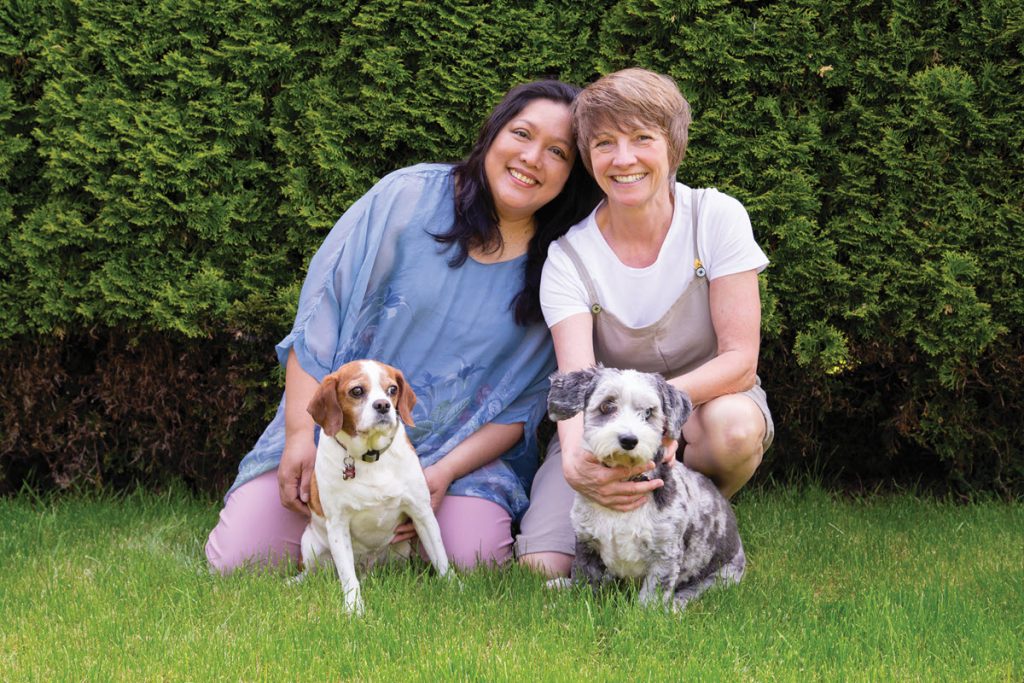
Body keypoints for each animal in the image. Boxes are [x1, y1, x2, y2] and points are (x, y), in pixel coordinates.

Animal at [294, 360, 450, 618]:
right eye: (357, 391)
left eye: (392, 389)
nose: (383, 405)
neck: (370, 456)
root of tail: (368, 569)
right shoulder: (338, 524)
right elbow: (348, 577)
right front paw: (354, 608)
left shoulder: (422, 513)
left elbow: (442, 559)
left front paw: (455, 588)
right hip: (311, 546)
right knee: (314, 574)